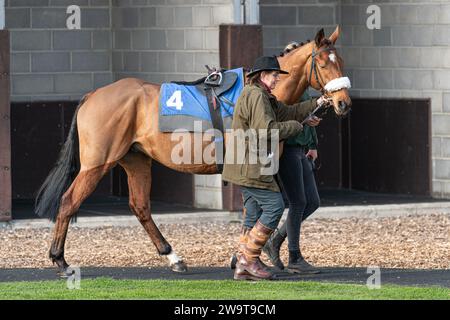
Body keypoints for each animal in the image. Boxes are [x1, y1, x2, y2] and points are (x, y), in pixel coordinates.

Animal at [35, 26, 352, 276]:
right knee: (69, 201)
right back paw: (60, 260)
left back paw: (173, 257)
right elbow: (254, 210)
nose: (343, 103)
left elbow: (254, 211)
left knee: (140, 206)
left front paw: (245, 256)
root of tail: (93, 94)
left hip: (136, 161)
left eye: (341, 61)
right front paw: (244, 259)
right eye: (323, 64)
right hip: (97, 163)